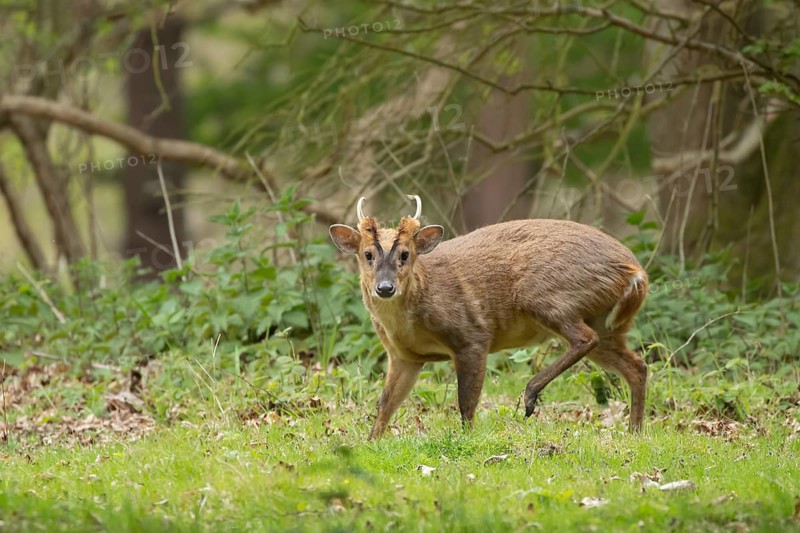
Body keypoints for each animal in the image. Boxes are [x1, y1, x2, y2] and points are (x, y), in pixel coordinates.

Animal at [329, 195, 649, 440]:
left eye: (405, 254)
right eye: (367, 254)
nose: (385, 288)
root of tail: (635, 271)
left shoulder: (472, 335)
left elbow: (466, 402)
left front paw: (467, 440)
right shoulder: (404, 355)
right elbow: (385, 403)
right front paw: (370, 442)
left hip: (547, 294)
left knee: (585, 339)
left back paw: (530, 397)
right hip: (608, 323)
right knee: (636, 365)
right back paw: (634, 431)